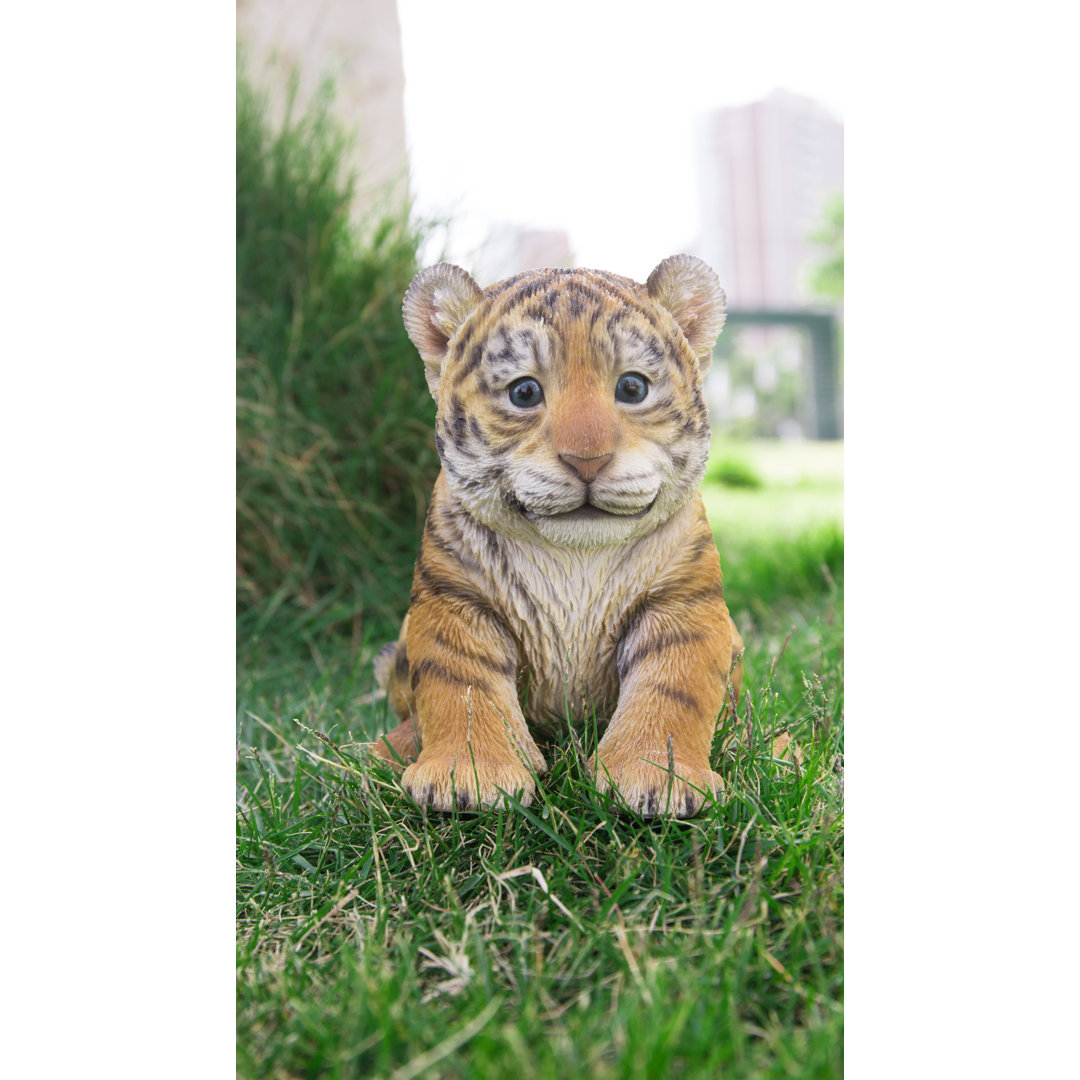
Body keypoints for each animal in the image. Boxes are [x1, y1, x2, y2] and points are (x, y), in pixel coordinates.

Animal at [369, 253, 743, 818]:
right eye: (524, 392)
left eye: (632, 388)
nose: (587, 458)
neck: (574, 556)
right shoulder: (454, 598)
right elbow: (460, 685)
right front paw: (468, 777)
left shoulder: (684, 600)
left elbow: (674, 687)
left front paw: (656, 777)